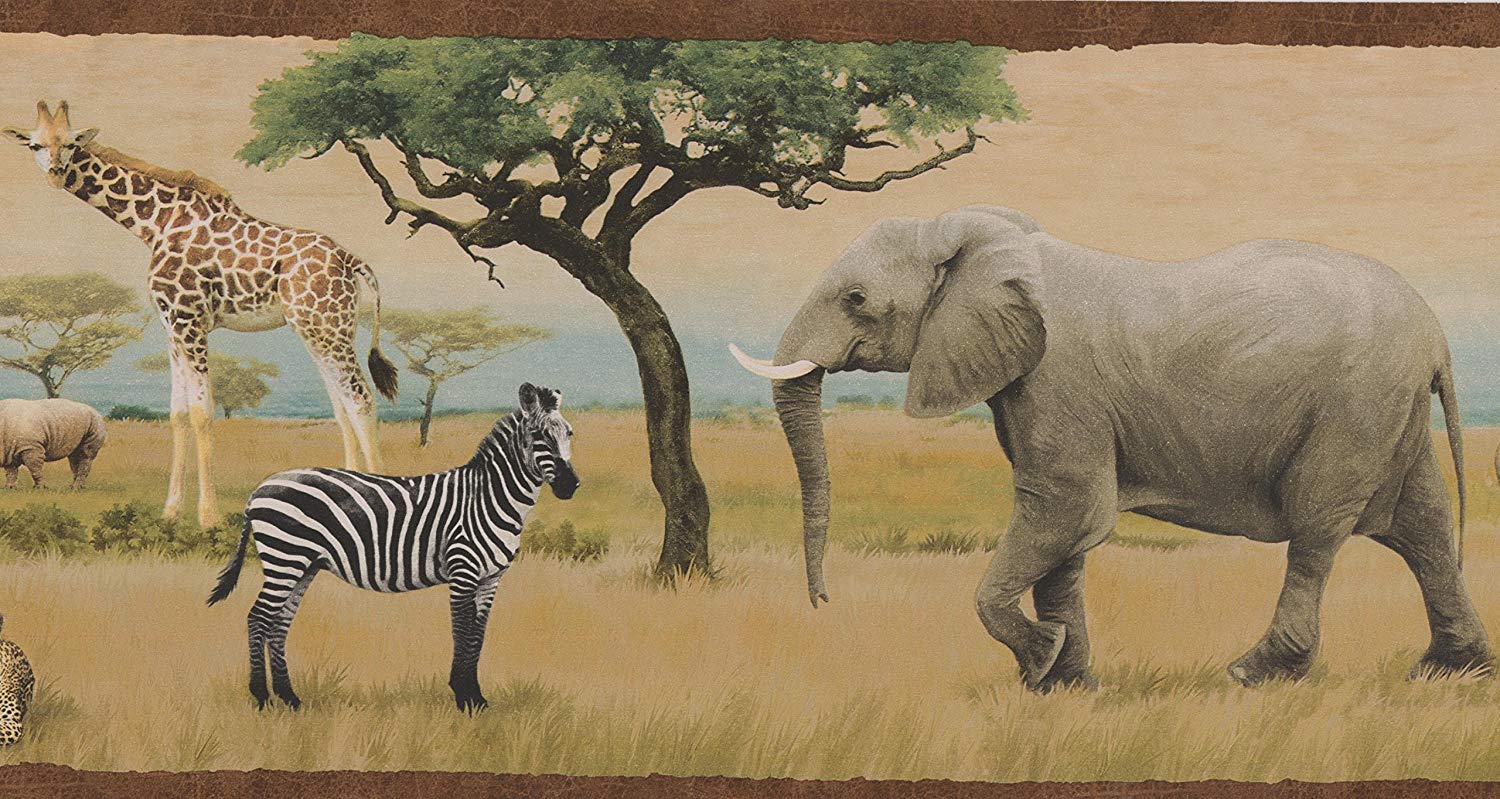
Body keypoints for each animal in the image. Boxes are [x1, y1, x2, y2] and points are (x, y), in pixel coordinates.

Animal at [207, 382, 579, 711]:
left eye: (569, 434)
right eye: (539, 436)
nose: (570, 486)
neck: (487, 497)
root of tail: (260, 488)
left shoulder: (491, 578)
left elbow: (478, 635)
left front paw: (477, 699)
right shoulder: (463, 570)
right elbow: (462, 632)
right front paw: (463, 697)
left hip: (303, 565)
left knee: (278, 622)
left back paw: (290, 698)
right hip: (285, 557)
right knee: (258, 618)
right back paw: (261, 697)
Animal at [732, 205, 1493, 691]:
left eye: (857, 299)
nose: (823, 602)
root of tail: (1435, 335)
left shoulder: (1058, 381)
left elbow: (1065, 510)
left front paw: (1042, 660)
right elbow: (1063, 539)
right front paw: (1063, 685)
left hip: (1353, 407)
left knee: (1316, 532)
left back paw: (1253, 673)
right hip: (1388, 413)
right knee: (1422, 527)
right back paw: (1450, 672)